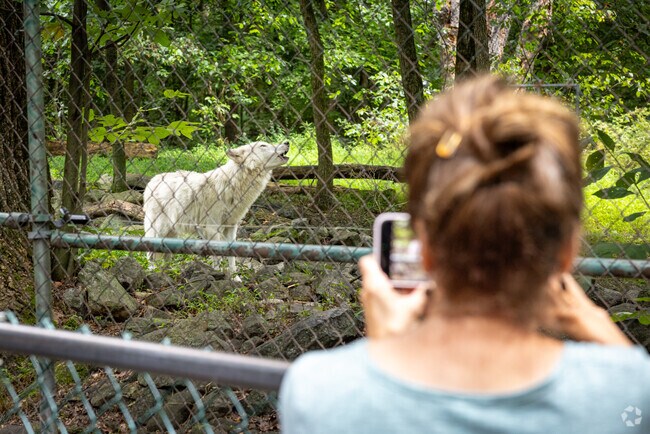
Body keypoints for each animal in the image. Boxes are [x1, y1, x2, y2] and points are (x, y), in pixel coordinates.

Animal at [143, 140, 290, 274]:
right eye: (263, 145)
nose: (287, 142)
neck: (233, 184)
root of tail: (152, 181)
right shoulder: (212, 228)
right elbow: (217, 257)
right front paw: (218, 274)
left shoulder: (231, 227)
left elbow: (232, 256)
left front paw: (235, 278)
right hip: (159, 230)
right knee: (150, 253)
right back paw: (153, 272)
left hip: (172, 233)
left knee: (166, 255)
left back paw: (167, 272)